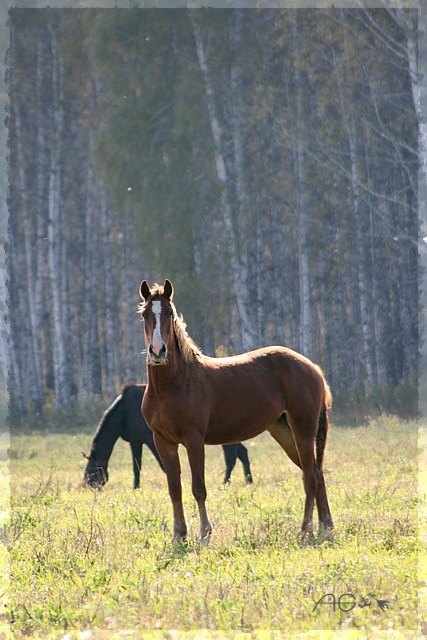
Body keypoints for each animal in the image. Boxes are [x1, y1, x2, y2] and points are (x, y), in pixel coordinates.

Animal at [83, 388, 254, 488]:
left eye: (91, 470)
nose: (87, 485)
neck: (122, 414)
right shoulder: (135, 440)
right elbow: (137, 467)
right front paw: (136, 487)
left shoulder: (149, 438)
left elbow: (162, 464)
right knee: (242, 454)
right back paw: (248, 480)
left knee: (231, 457)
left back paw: (226, 482)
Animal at [140, 278, 334, 544]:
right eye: (145, 314)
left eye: (169, 313)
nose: (158, 351)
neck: (172, 386)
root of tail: (313, 368)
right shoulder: (163, 441)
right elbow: (174, 489)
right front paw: (179, 535)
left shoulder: (193, 440)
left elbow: (198, 488)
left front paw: (204, 533)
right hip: (284, 432)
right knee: (316, 471)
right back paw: (326, 527)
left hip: (303, 430)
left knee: (310, 476)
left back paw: (306, 529)